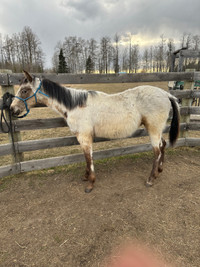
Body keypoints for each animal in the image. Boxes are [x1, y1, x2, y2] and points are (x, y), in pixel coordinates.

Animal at [10, 70, 180, 193]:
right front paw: (86, 177)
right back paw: (159, 170)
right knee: (163, 145)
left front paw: (90, 183)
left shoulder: (85, 137)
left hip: (153, 129)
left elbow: (88, 158)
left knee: (157, 151)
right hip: (157, 130)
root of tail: (166, 94)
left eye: (24, 90)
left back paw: (150, 179)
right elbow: (86, 158)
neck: (76, 105)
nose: (12, 109)